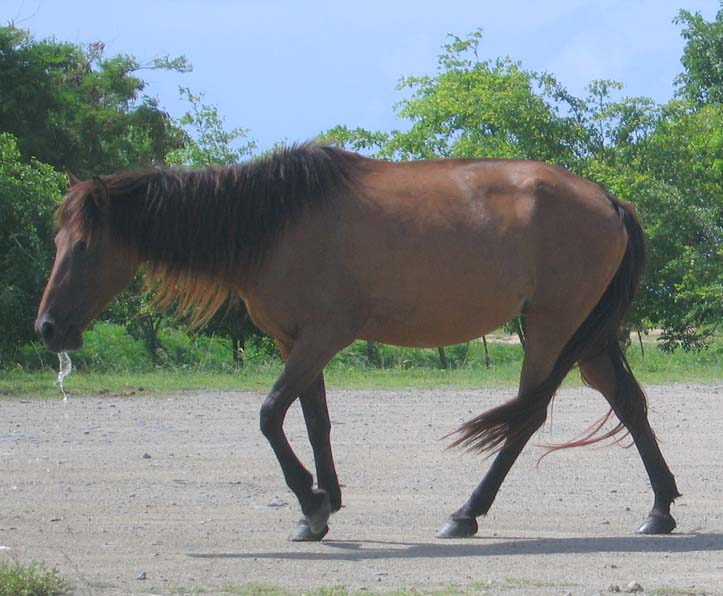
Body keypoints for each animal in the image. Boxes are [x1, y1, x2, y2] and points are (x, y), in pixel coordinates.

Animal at [35, 143, 680, 540]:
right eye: (56, 240)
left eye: (84, 246)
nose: (47, 328)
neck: (276, 222)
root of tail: (607, 199)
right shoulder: (298, 342)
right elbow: (313, 420)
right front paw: (322, 505)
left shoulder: (323, 336)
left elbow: (270, 415)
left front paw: (310, 501)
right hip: (585, 335)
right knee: (626, 402)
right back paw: (660, 509)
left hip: (551, 327)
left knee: (526, 418)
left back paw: (465, 513)